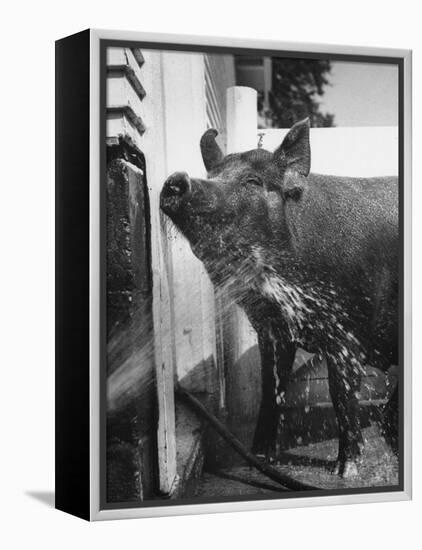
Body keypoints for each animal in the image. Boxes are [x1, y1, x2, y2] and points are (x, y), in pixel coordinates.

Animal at [160, 119, 398, 478]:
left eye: (253, 181)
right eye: (213, 173)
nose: (176, 180)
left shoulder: (346, 329)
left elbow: (341, 393)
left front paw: (345, 470)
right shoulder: (272, 330)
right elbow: (271, 389)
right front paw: (258, 457)